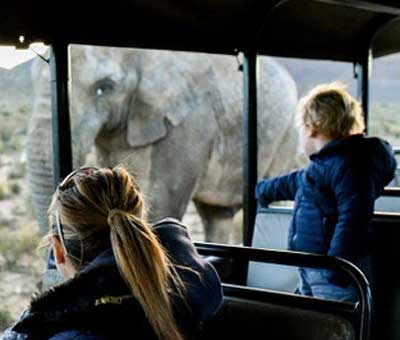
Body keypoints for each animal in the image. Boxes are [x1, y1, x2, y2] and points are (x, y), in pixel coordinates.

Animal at [26, 46, 298, 243]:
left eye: (105, 88)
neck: (143, 55)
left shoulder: (190, 122)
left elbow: (163, 199)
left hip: (286, 135)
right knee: (216, 214)